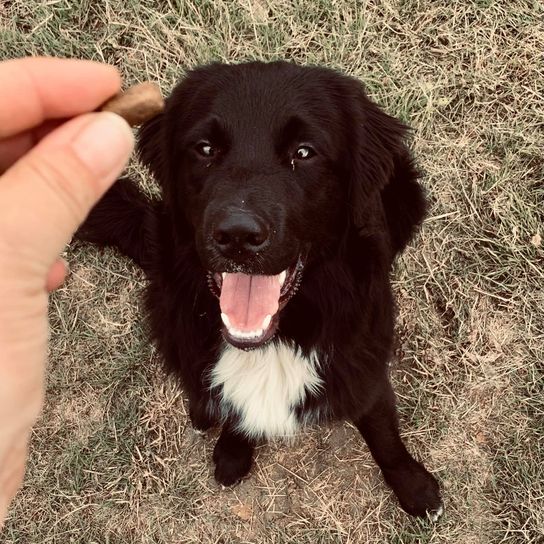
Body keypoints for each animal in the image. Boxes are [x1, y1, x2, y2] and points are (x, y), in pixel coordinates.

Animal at [77, 59, 442, 520]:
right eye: (205, 149)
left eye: (304, 152)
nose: (237, 235)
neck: (274, 341)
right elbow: (237, 411)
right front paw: (234, 451)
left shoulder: (364, 371)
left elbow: (383, 434)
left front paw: (413, 487)